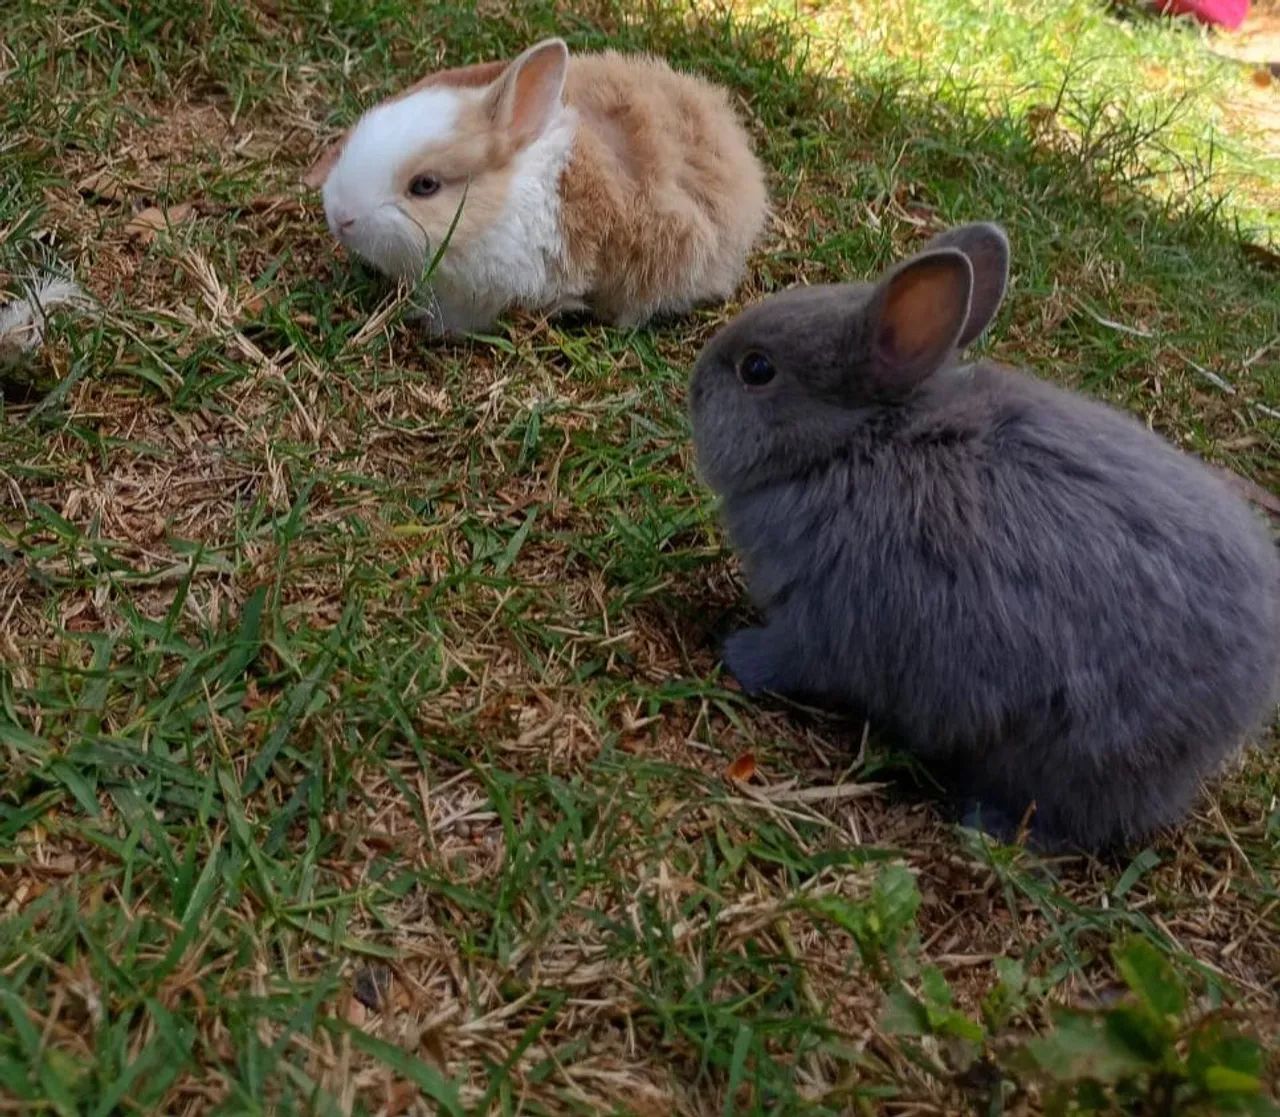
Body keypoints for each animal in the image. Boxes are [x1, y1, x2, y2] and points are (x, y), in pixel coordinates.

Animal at [689, 221, 1280, 852]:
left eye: (757, 370)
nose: (694, 384)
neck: (854, 444)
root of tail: (1249, 688)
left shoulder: (824, 617)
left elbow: (790, 657)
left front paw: (735, 652)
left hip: (1075, 753)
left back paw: (984, 823)